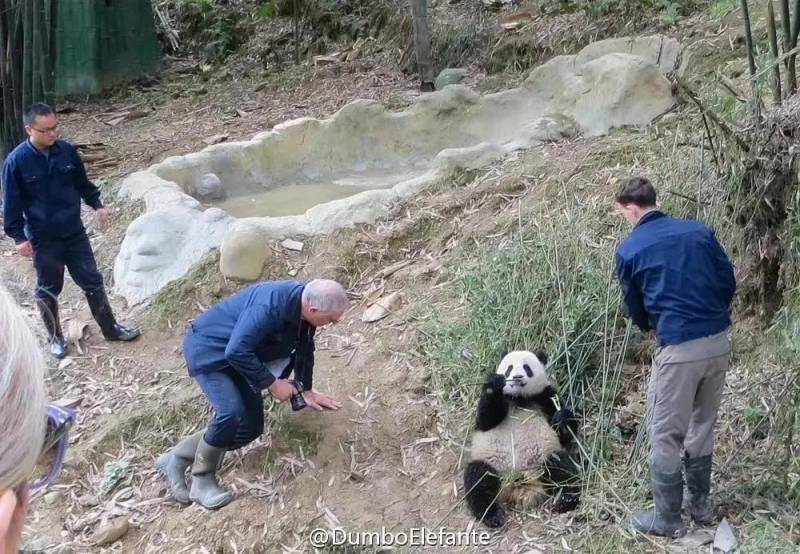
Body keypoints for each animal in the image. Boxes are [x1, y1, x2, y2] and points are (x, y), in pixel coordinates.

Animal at [462, 350, 580, 528]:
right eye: (509, 369)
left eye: (527, 368)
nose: (517, 377)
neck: (519, 399)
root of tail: (517, 486)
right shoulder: (501, 401)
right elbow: (485, 421)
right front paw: (494, 383)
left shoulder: (545, 396)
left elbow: (564, 434)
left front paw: (562, 418)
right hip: (495, 468)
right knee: (478, 478)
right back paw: (492, 515)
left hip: (541, 463)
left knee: (560, 465)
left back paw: (566, 501)